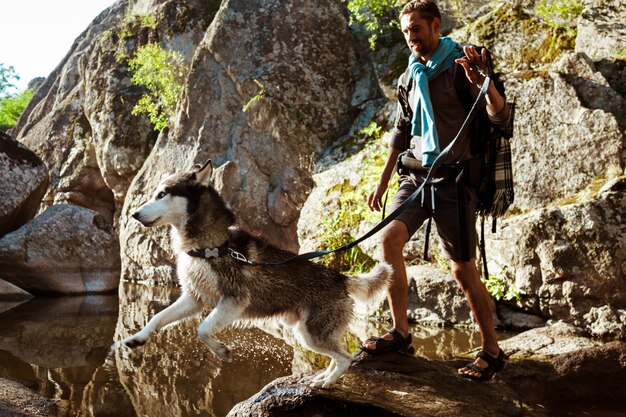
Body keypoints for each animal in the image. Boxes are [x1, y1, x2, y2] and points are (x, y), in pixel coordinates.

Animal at [117, 159, 390, 386]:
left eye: (162, 194)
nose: (134, 214)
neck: (208, 247)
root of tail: (340, 277)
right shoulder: (194, 298)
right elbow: (157, 318)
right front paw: (138, 338)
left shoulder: (233, 300)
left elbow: (203, 329)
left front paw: (220, 350)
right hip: (307, 334)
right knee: (338, 355)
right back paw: (324, 376)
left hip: (312, 334)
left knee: (346, 357)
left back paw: (327, 381)